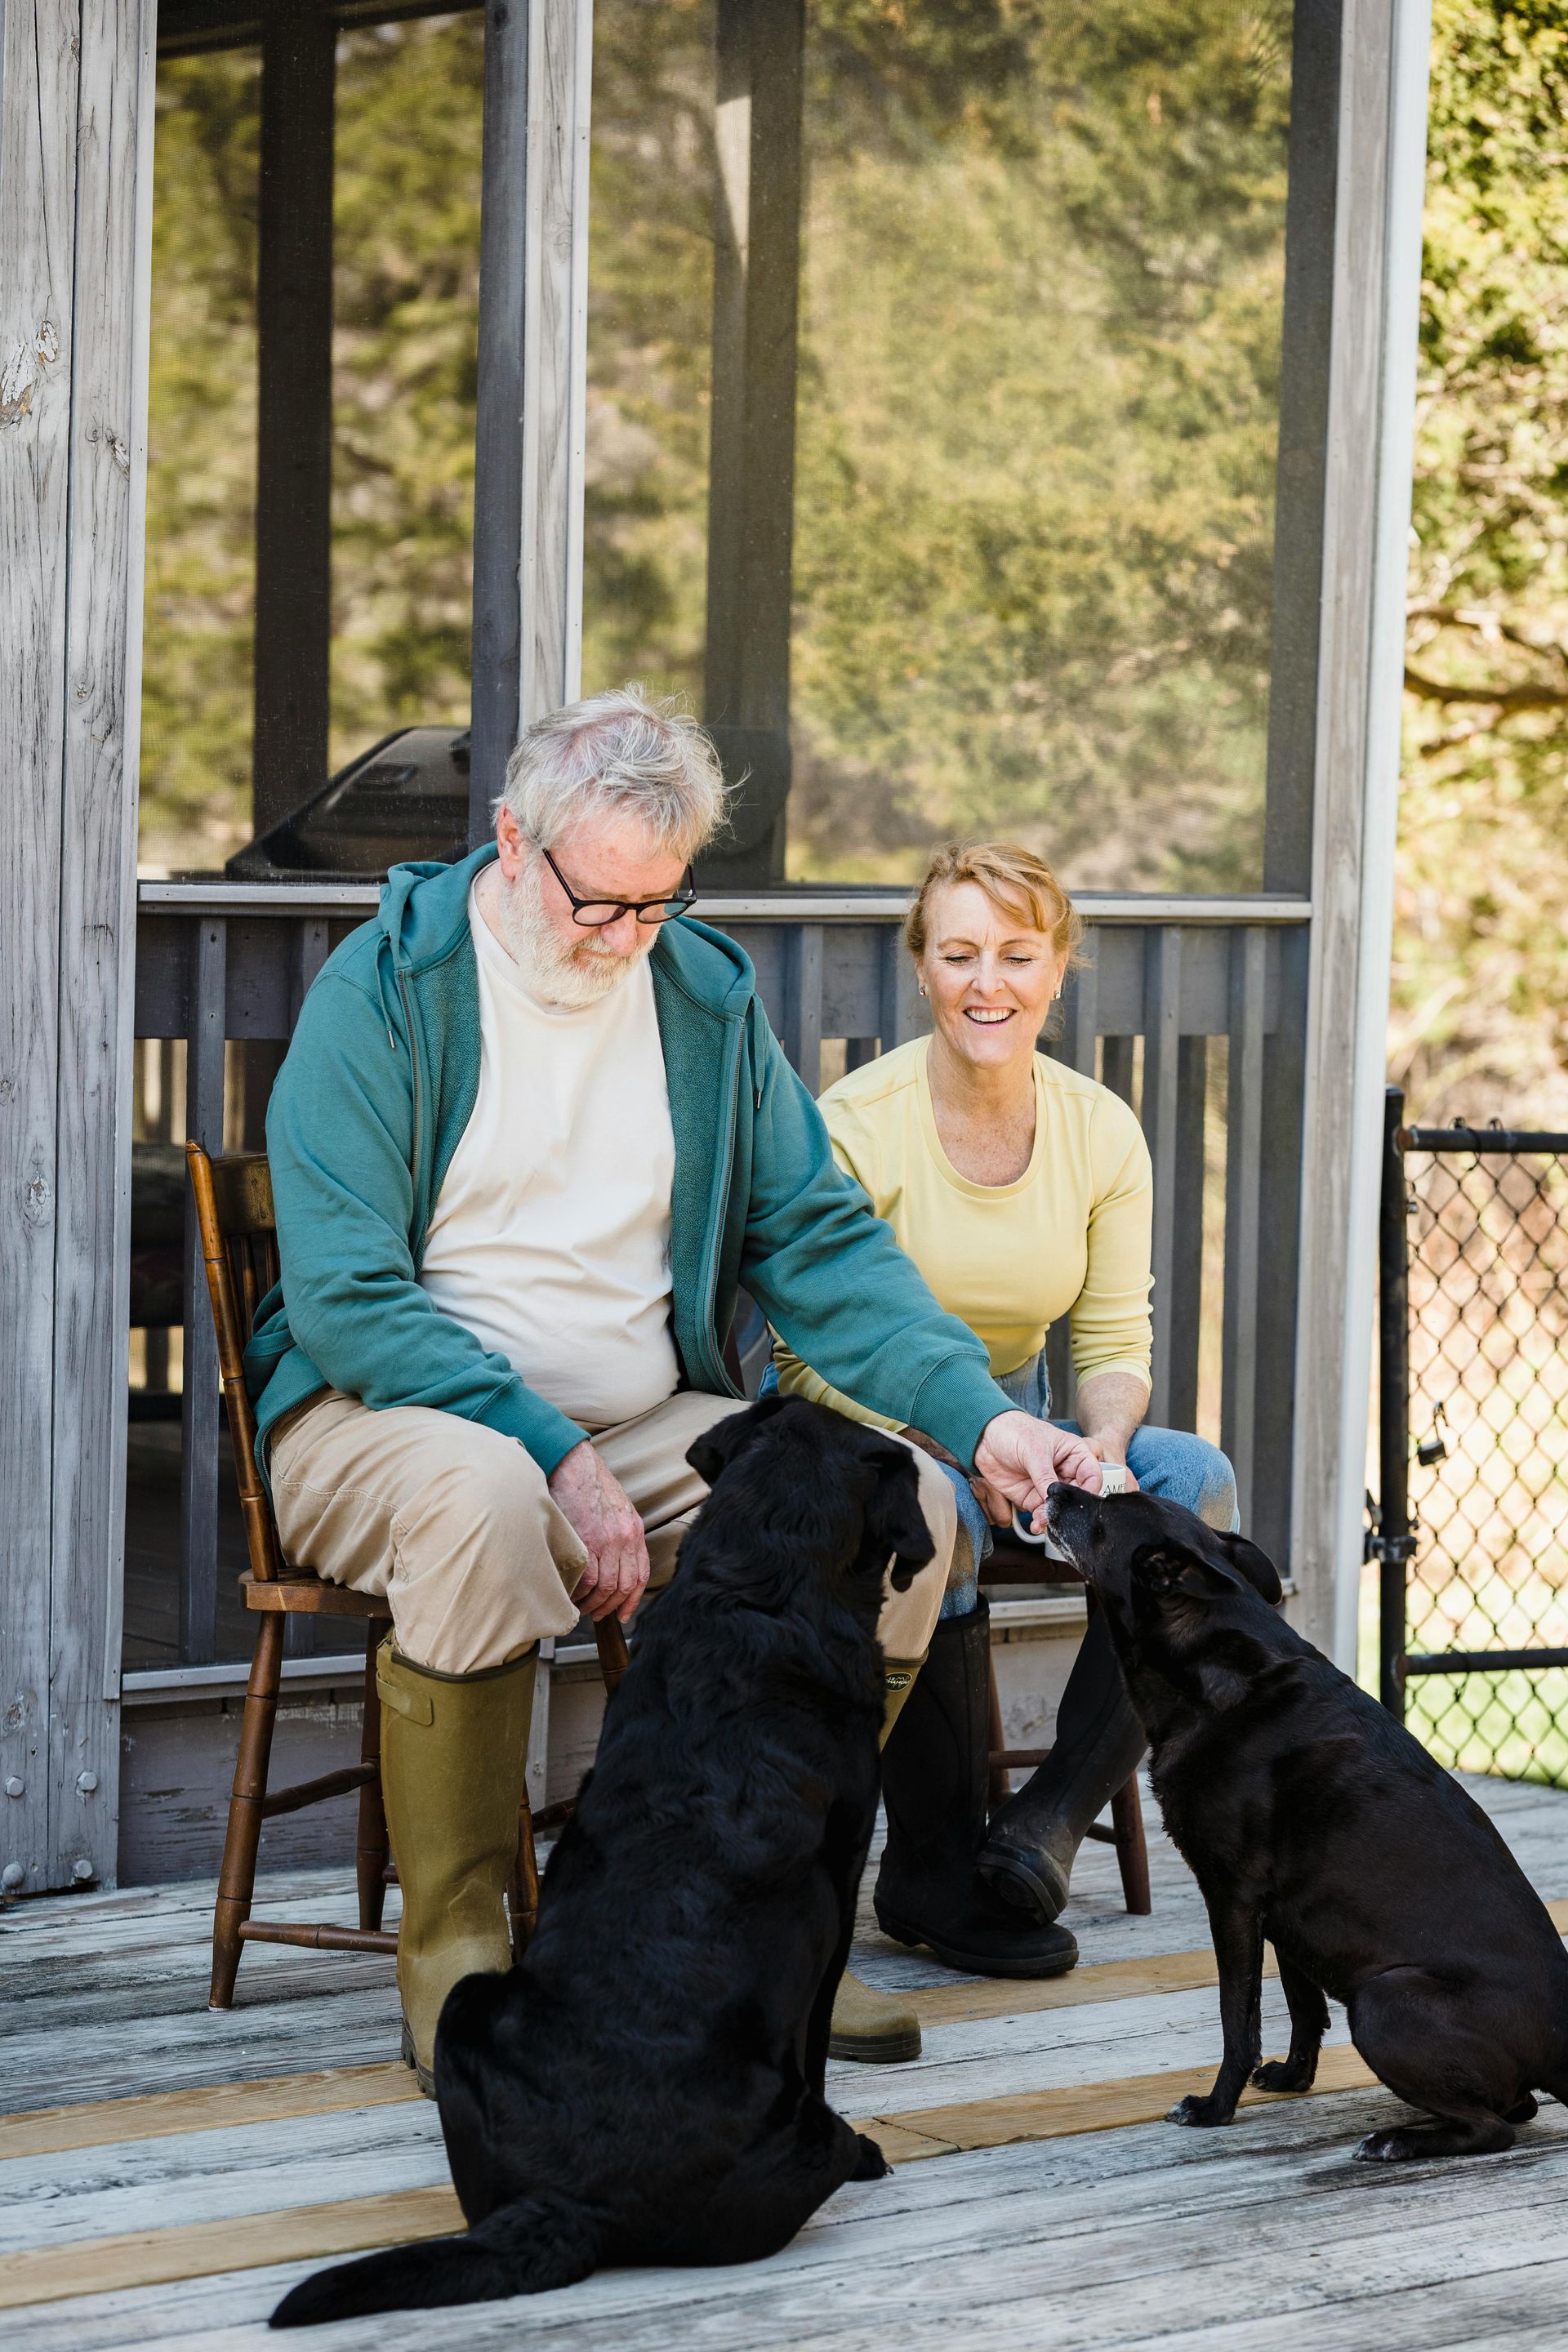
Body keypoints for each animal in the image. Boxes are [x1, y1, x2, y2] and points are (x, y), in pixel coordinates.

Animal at [272, 1383, 930, 2323]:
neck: (758, 1595)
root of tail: (569, 2204)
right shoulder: (837, 1901)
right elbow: (817, 2039)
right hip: (807, 2135)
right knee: (824, 2128)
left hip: (471, 2005)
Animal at [1048, 1477, 1568, 2154]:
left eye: (1102, 1511)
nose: (1052, 1486)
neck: (1222, 1673)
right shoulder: (1288, 1914)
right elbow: (1302, 2004)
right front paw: (1295, 2078)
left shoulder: (1233, 1899)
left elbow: (1237, 2018)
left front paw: (1216, 2108)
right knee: (1516, 2108)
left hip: (1382, 2000)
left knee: (1496, 2128)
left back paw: (1399, 2141)